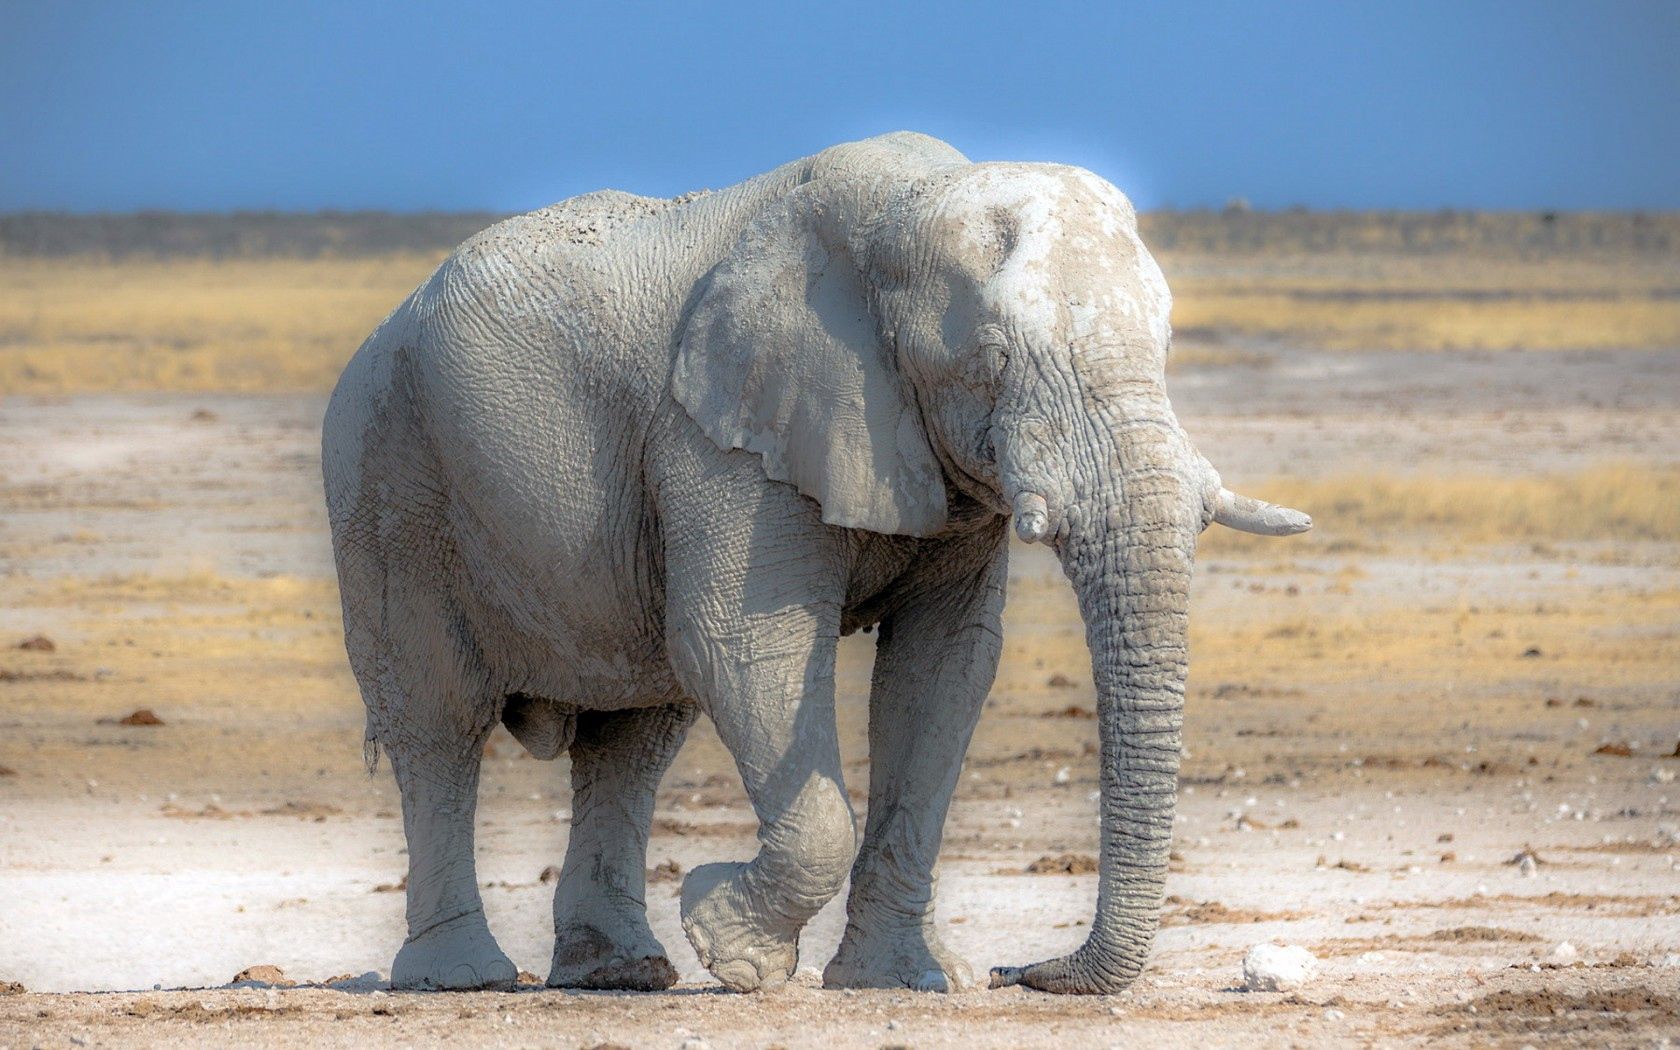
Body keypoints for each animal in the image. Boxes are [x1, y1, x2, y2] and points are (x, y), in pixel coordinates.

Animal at [320, 135, 1303, 994]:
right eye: (989, 361)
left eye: (1167, 348)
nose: (1021, 973)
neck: (912, 201)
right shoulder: (720, 439)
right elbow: (747, 645)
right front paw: (732, 947)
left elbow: (944, 669)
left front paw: (905, 982)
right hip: (386, 475)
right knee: (439, 724)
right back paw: (461, 977)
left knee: (634, 736)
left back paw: (618, 974)